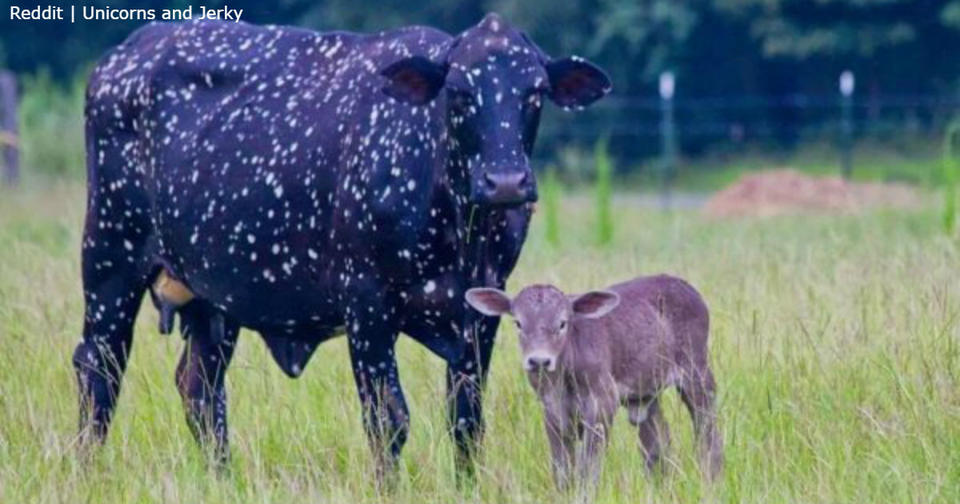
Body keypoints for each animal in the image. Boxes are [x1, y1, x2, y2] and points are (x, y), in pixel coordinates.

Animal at [79, 12, 612, 476]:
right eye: (459, 92)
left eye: (535, 92)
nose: (505, 182)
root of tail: (124, 55)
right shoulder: (367, 306)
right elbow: (388, 420)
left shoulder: (482, 314)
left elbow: (466, 420)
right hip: (110, 258)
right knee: (98, 369)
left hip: (213, 299)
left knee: (201, 390)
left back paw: (222, 480)